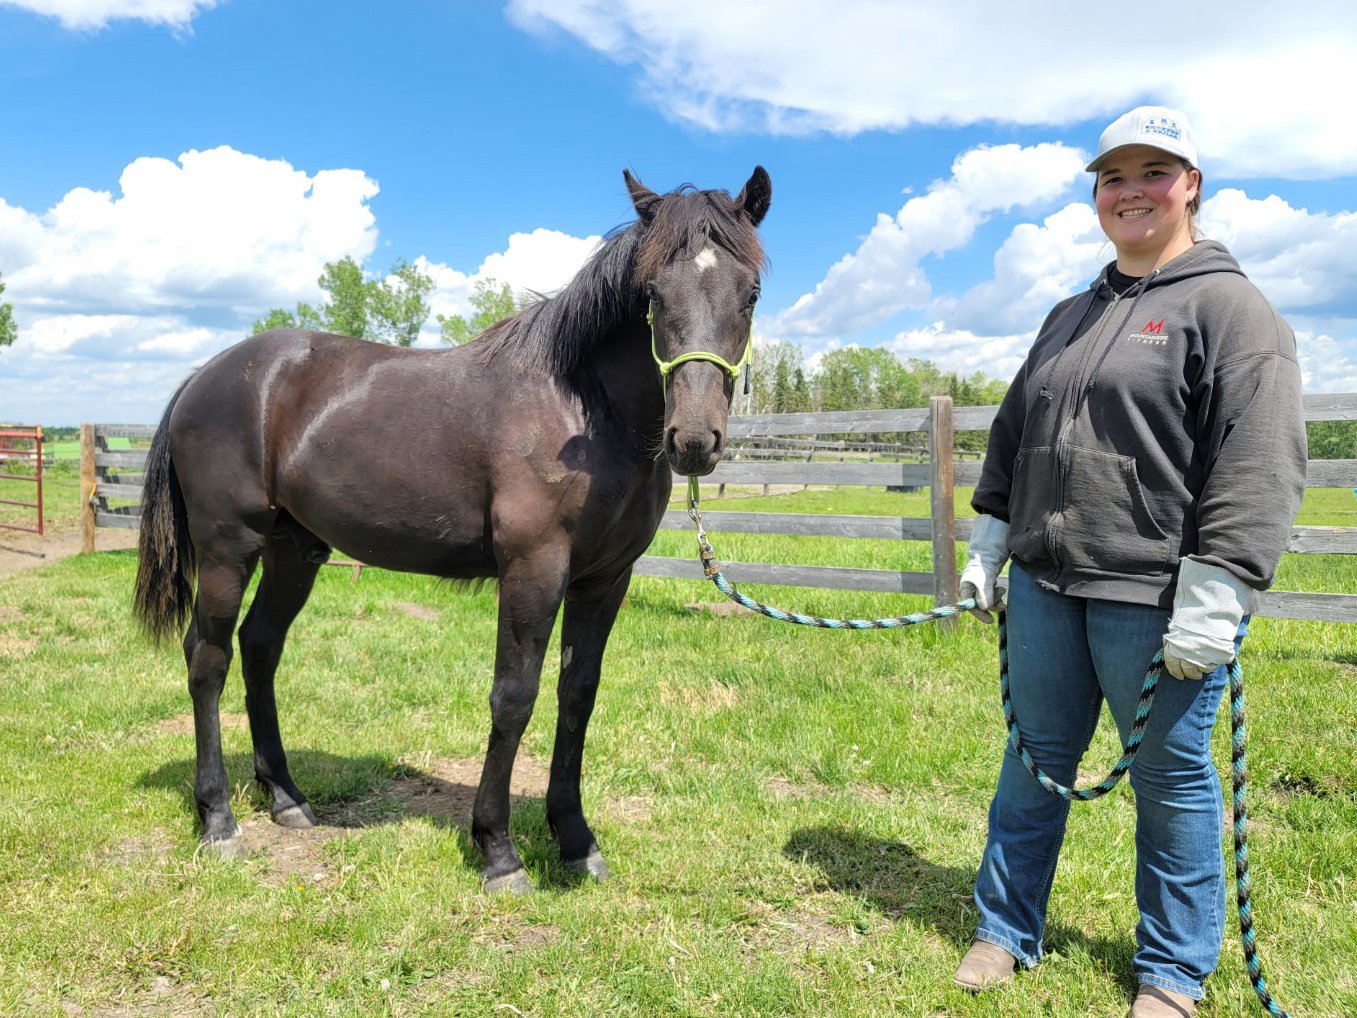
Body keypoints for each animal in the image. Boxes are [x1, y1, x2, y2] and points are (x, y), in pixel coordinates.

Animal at [133, 167, 771, 893]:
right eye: (652, 294)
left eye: (750, 294)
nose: (693, 440)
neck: (581, 411)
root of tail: (202, 378)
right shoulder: (533, 569)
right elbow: (514, 697)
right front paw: (498, 850)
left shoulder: (604, 580)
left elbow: (576, 696)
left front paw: (576, 841)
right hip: (227, 548)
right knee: (207, 658)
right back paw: (218, 820)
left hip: (294, 551)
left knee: (259, 646)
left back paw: (287, 799)